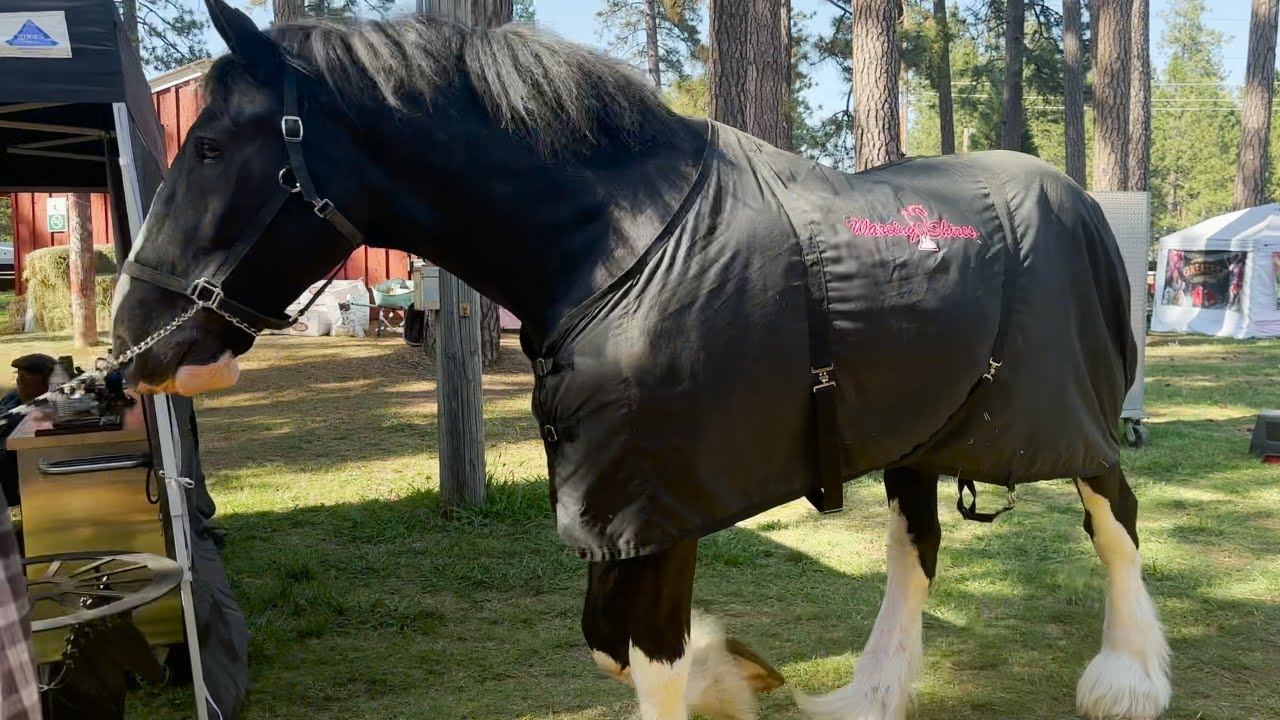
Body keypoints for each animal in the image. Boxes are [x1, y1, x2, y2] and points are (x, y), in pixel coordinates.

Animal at [110, 2, 1172, 718]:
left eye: (210, 147)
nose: (132, 346)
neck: (612, 242)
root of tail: (1079, 199)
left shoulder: (658, 506)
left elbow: (647, 657)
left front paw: (712, 675)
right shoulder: (609, 505)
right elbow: (610, 645)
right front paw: (732, 675)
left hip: (1072, 417)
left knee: (1113, 514)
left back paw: (1128, 677)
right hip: (920, 430)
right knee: (919, 548)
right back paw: (871, 693)